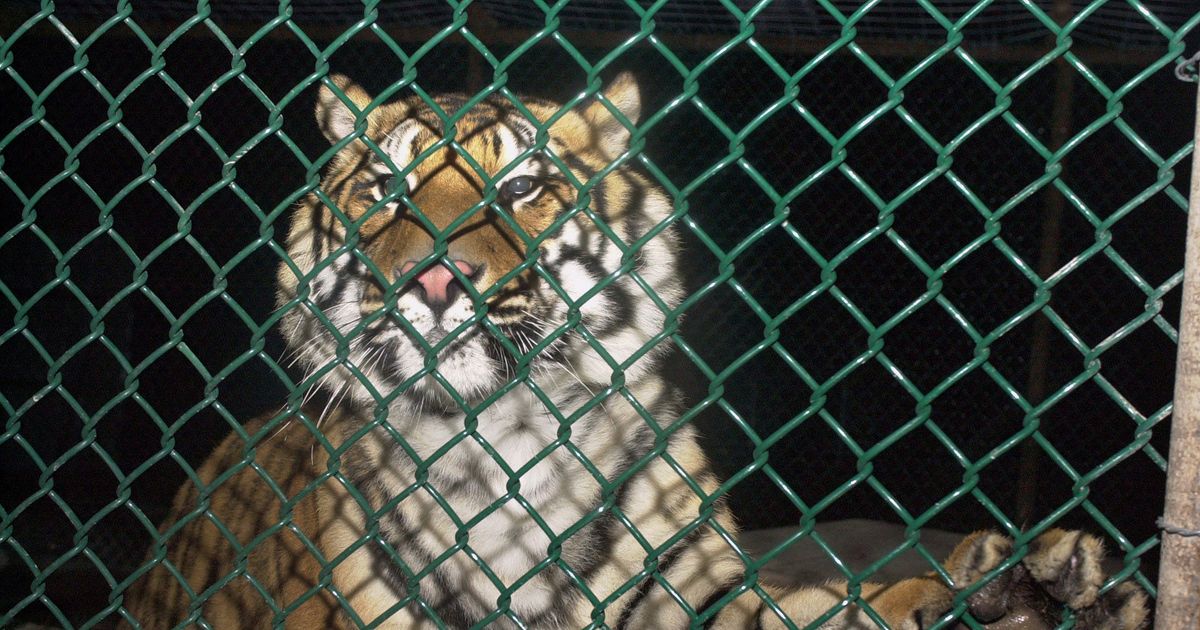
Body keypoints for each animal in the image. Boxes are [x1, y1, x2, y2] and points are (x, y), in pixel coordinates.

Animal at [121, 73, 1150, 629]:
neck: (505, 444)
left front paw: (1039, 595)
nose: (436, 279)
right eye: (383, 187)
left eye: (523, 185)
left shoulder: (694, 593)